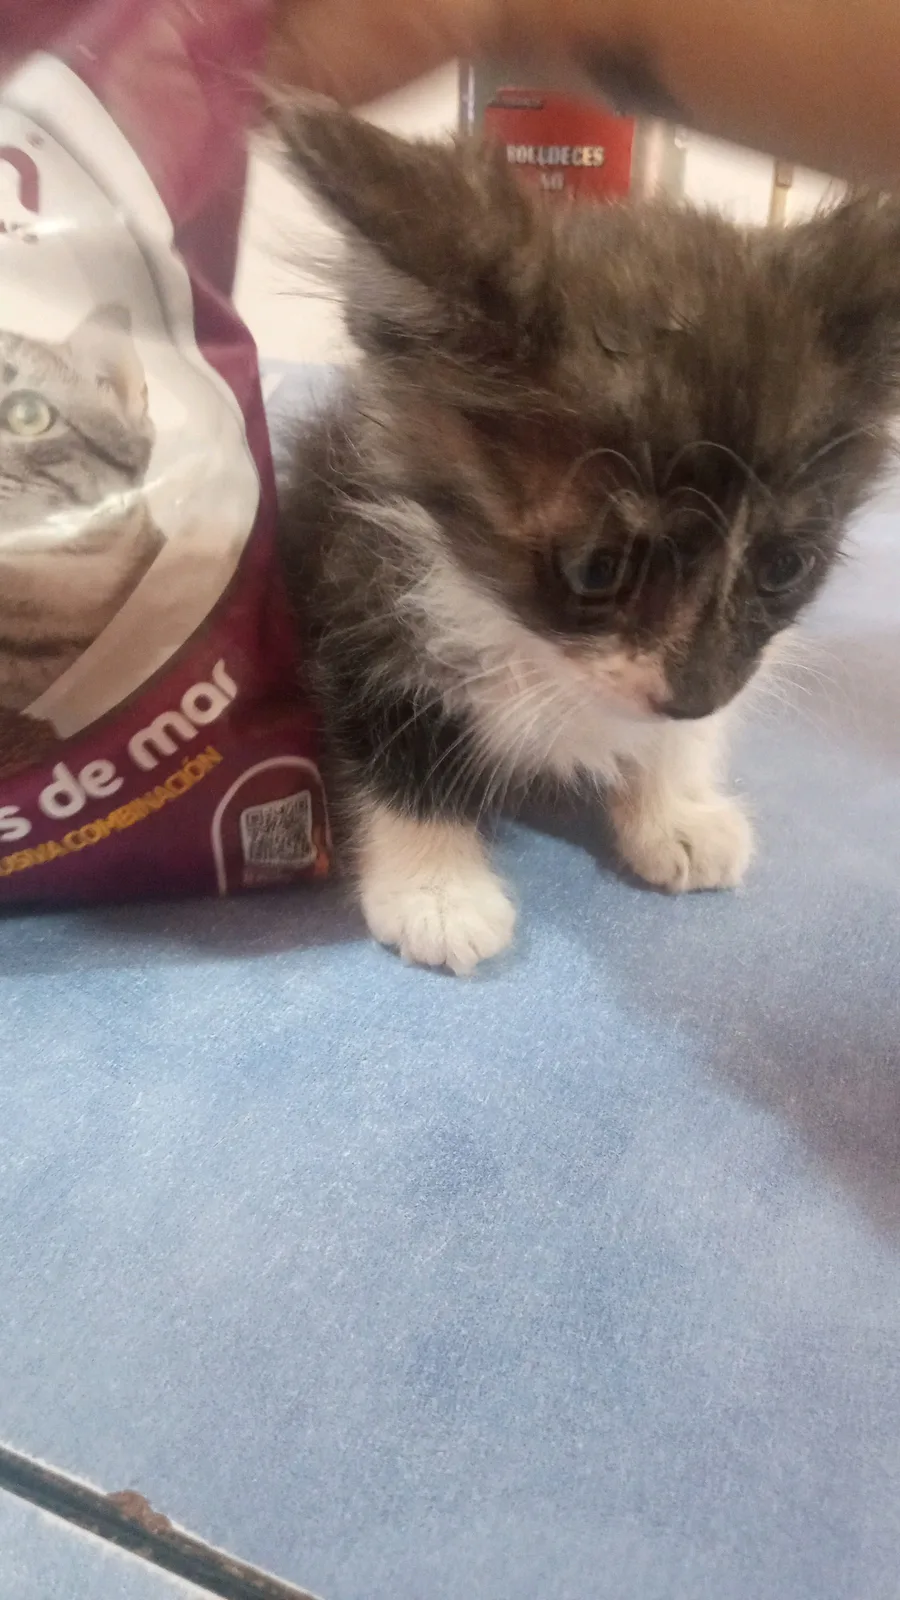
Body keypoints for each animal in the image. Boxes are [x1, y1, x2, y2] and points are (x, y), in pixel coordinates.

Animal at [276, 103, 900, 974]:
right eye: (597, 569)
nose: (698, 695)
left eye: (786, 566)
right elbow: (393, 724)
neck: (540, 652)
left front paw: (677, 809)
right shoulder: (359, 576)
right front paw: (435, 891)